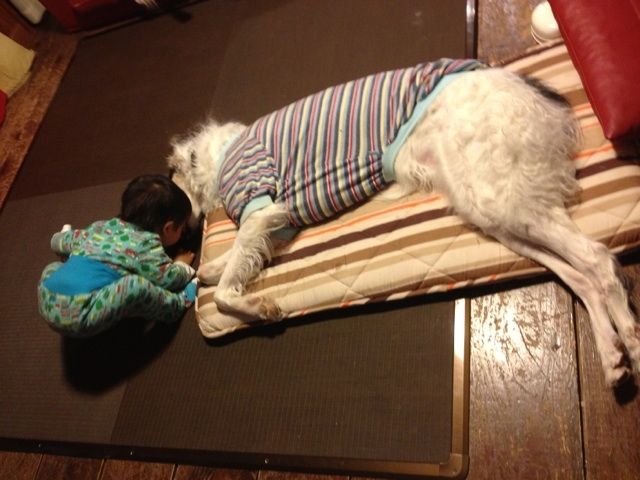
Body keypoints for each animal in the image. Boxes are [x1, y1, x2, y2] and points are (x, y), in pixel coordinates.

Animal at [168, 60, 640, 387]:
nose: (183, 233)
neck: (216, 157)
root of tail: (538, 91)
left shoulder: (262, 208)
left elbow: (225, 290)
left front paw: (257, 305)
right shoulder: (275, 226)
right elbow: (227, 265)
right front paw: (208, 268)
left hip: (499, 198)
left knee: (598, 259)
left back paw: (631, 340)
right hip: (491, 210)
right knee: (580, 276)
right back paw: (612, 356)